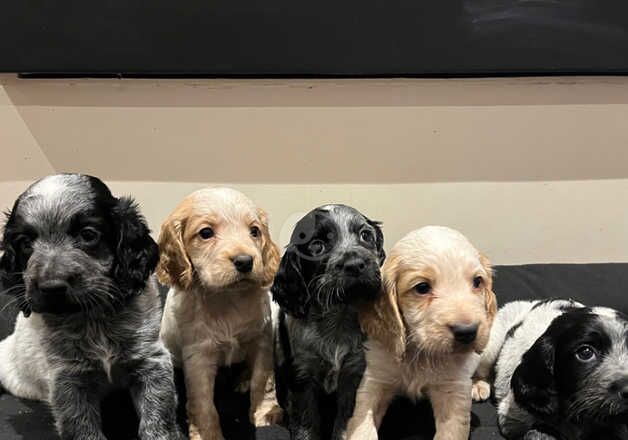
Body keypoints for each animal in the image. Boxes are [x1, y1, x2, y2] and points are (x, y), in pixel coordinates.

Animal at [0, 174, 182, 440]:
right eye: (24, 243)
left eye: (88, 235)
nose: (50, 287)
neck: (93, 318)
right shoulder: (69, 379)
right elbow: (80, 425)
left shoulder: (150, 361)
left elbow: (158, 413)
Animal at [157, 186, 282, 440]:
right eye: (206, 233)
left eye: (254, 231)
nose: (245, 261)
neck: (227, 298)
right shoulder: (198, 355)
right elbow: (203, 402)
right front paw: (208, 434)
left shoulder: (261, 340)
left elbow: (262, 380)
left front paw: (264, 415)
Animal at [272, 205, 386, 440]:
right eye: (317, 246)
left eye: (365, 235)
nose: (355, 265)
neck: (337, 317)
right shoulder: (302, 377)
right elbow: (306, 424)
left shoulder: (353, 373)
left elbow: (344, 421)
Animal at [346, 225, 498, 440]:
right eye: (422, 287)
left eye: (477, 282)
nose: (468, 332)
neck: (419, 354)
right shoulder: (375, 379)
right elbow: (362, 425)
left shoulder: (453, 390)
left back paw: (478, 385)